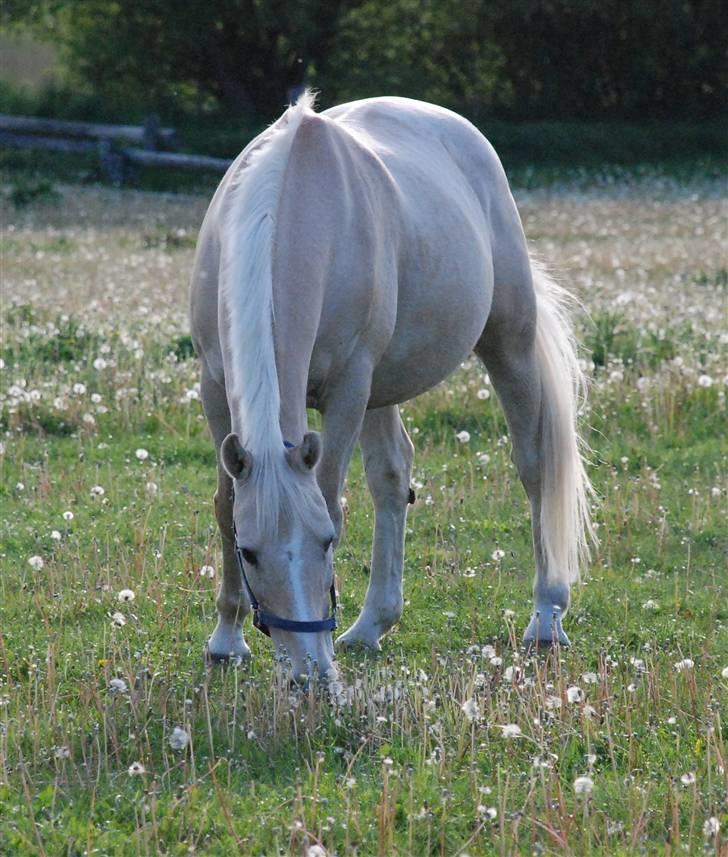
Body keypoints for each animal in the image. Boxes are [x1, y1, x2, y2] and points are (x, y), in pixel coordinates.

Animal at [191, 93, 596, 684]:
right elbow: (225, 503)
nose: (310, 674)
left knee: (534, 466)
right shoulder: (216, 386)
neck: (289, 210)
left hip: (507, 343)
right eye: (249, 553)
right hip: (381, 391)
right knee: (392, 478)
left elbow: (331, 499)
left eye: (326, 545)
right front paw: (226, 639)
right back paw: (370, 626)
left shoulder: (347, 388)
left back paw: (546, 617)